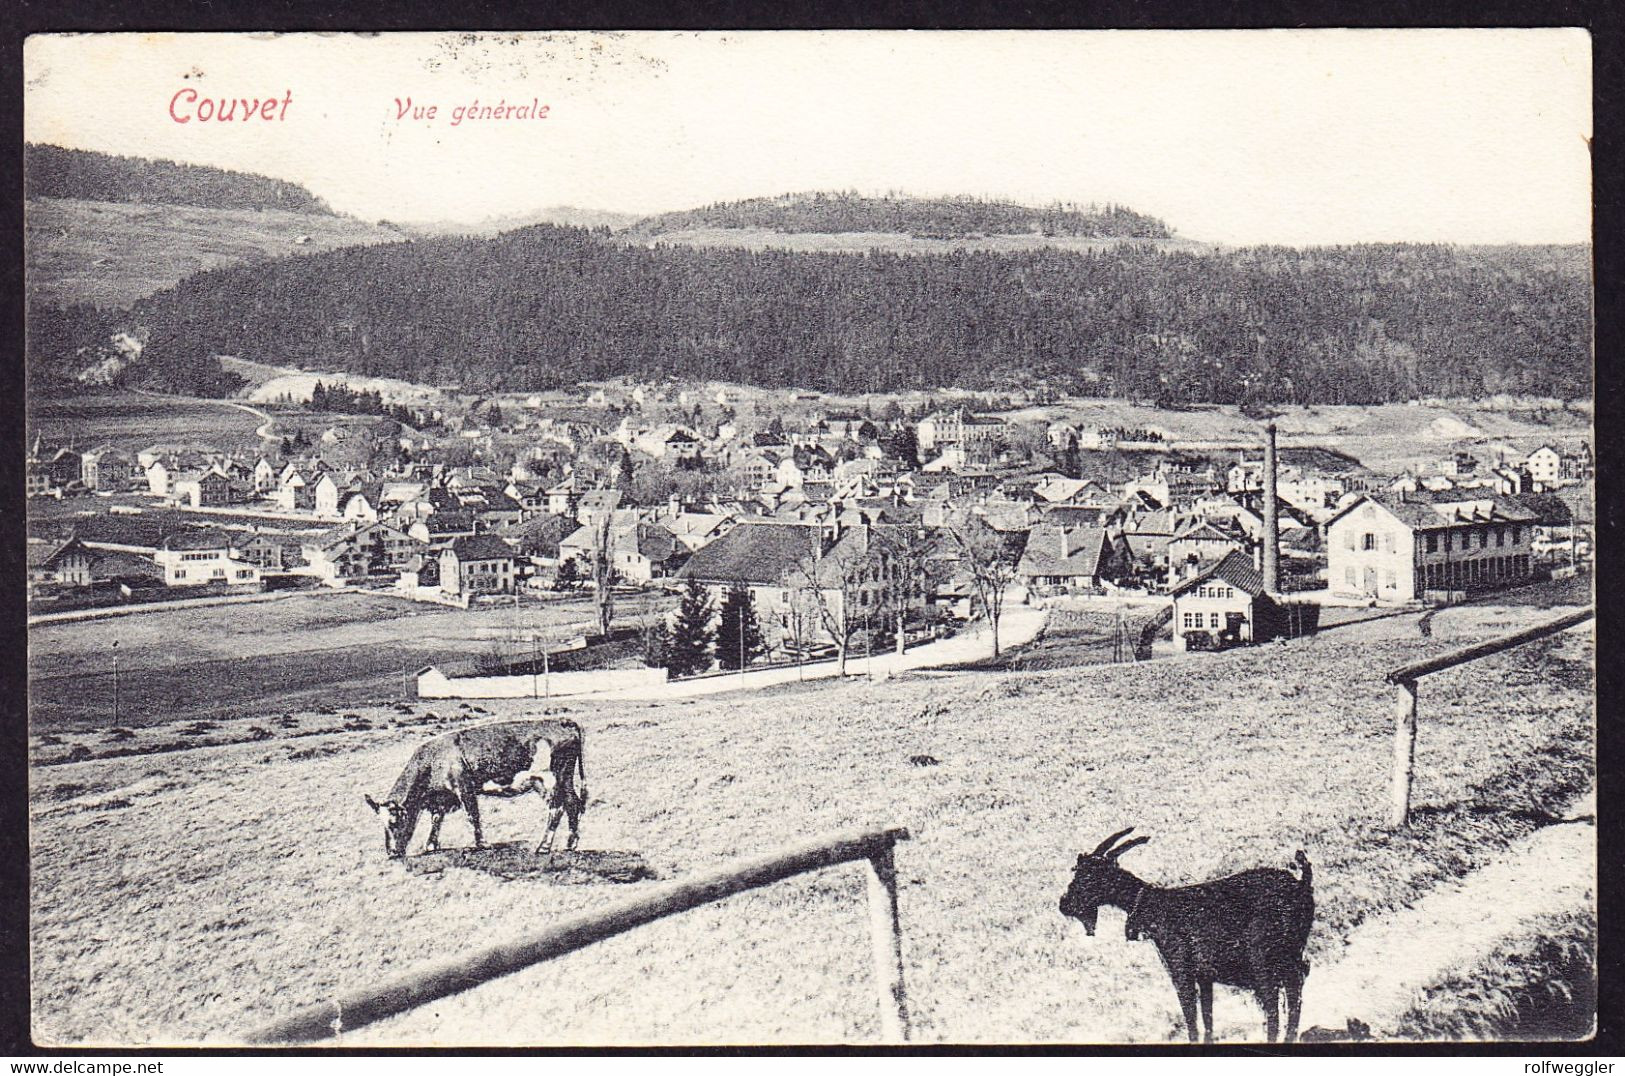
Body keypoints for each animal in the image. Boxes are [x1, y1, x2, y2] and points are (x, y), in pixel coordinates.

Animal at [362, 721, 585, 864]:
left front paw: (481, 844)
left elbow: (472, 815)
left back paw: (544, 847)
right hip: (565, 778)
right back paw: (570, 843)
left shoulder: (464, 787)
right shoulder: (441, 798)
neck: (432, 761)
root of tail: (562, 721)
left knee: (557, 808)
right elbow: (436, 820)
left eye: (394, 823)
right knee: (572, 803)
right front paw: (431, 845)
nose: (391, 853)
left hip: (548, 780)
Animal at [1059, 828, 1313, 1046]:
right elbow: (1207, 1018)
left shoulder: (1181, 971)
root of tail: (1302, 886)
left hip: (1262, 961)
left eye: (1088, 875)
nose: (1065, 904)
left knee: (1274, 1007)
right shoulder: (1205, 976)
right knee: (1294, 997)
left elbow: (1191, 1018)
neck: (1154, 905)